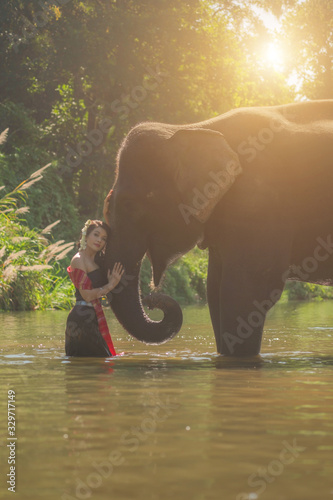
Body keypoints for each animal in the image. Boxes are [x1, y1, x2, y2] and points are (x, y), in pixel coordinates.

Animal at [105, 98, 332, 356]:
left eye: (129, 205)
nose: (152, 299)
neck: (194, 128)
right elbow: (214, 291)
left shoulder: (257, 205)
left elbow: (243, 292)